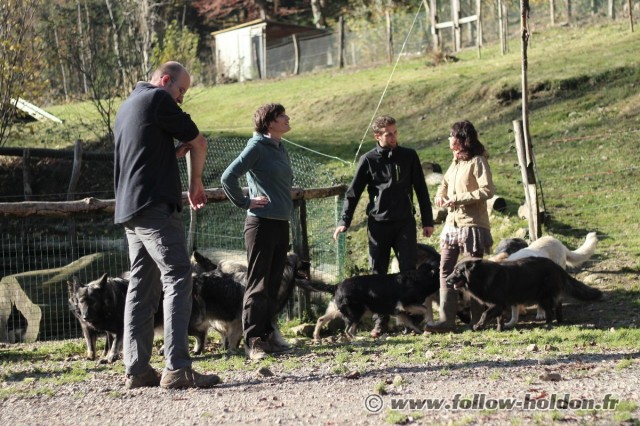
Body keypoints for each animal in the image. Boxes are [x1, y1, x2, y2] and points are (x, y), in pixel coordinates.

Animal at [448, 256, 604, 330]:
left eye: (457, 271)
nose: (447, 280)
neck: (480, 275)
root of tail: (556, 266)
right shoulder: (499, 306)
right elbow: (499, 318)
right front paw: (500, 329)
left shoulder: (497, 304)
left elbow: (485, 314)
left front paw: (478, 326)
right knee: (558, 303)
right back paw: (559, 320)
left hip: (543, 297)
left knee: (550, 311)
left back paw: (548, 325)